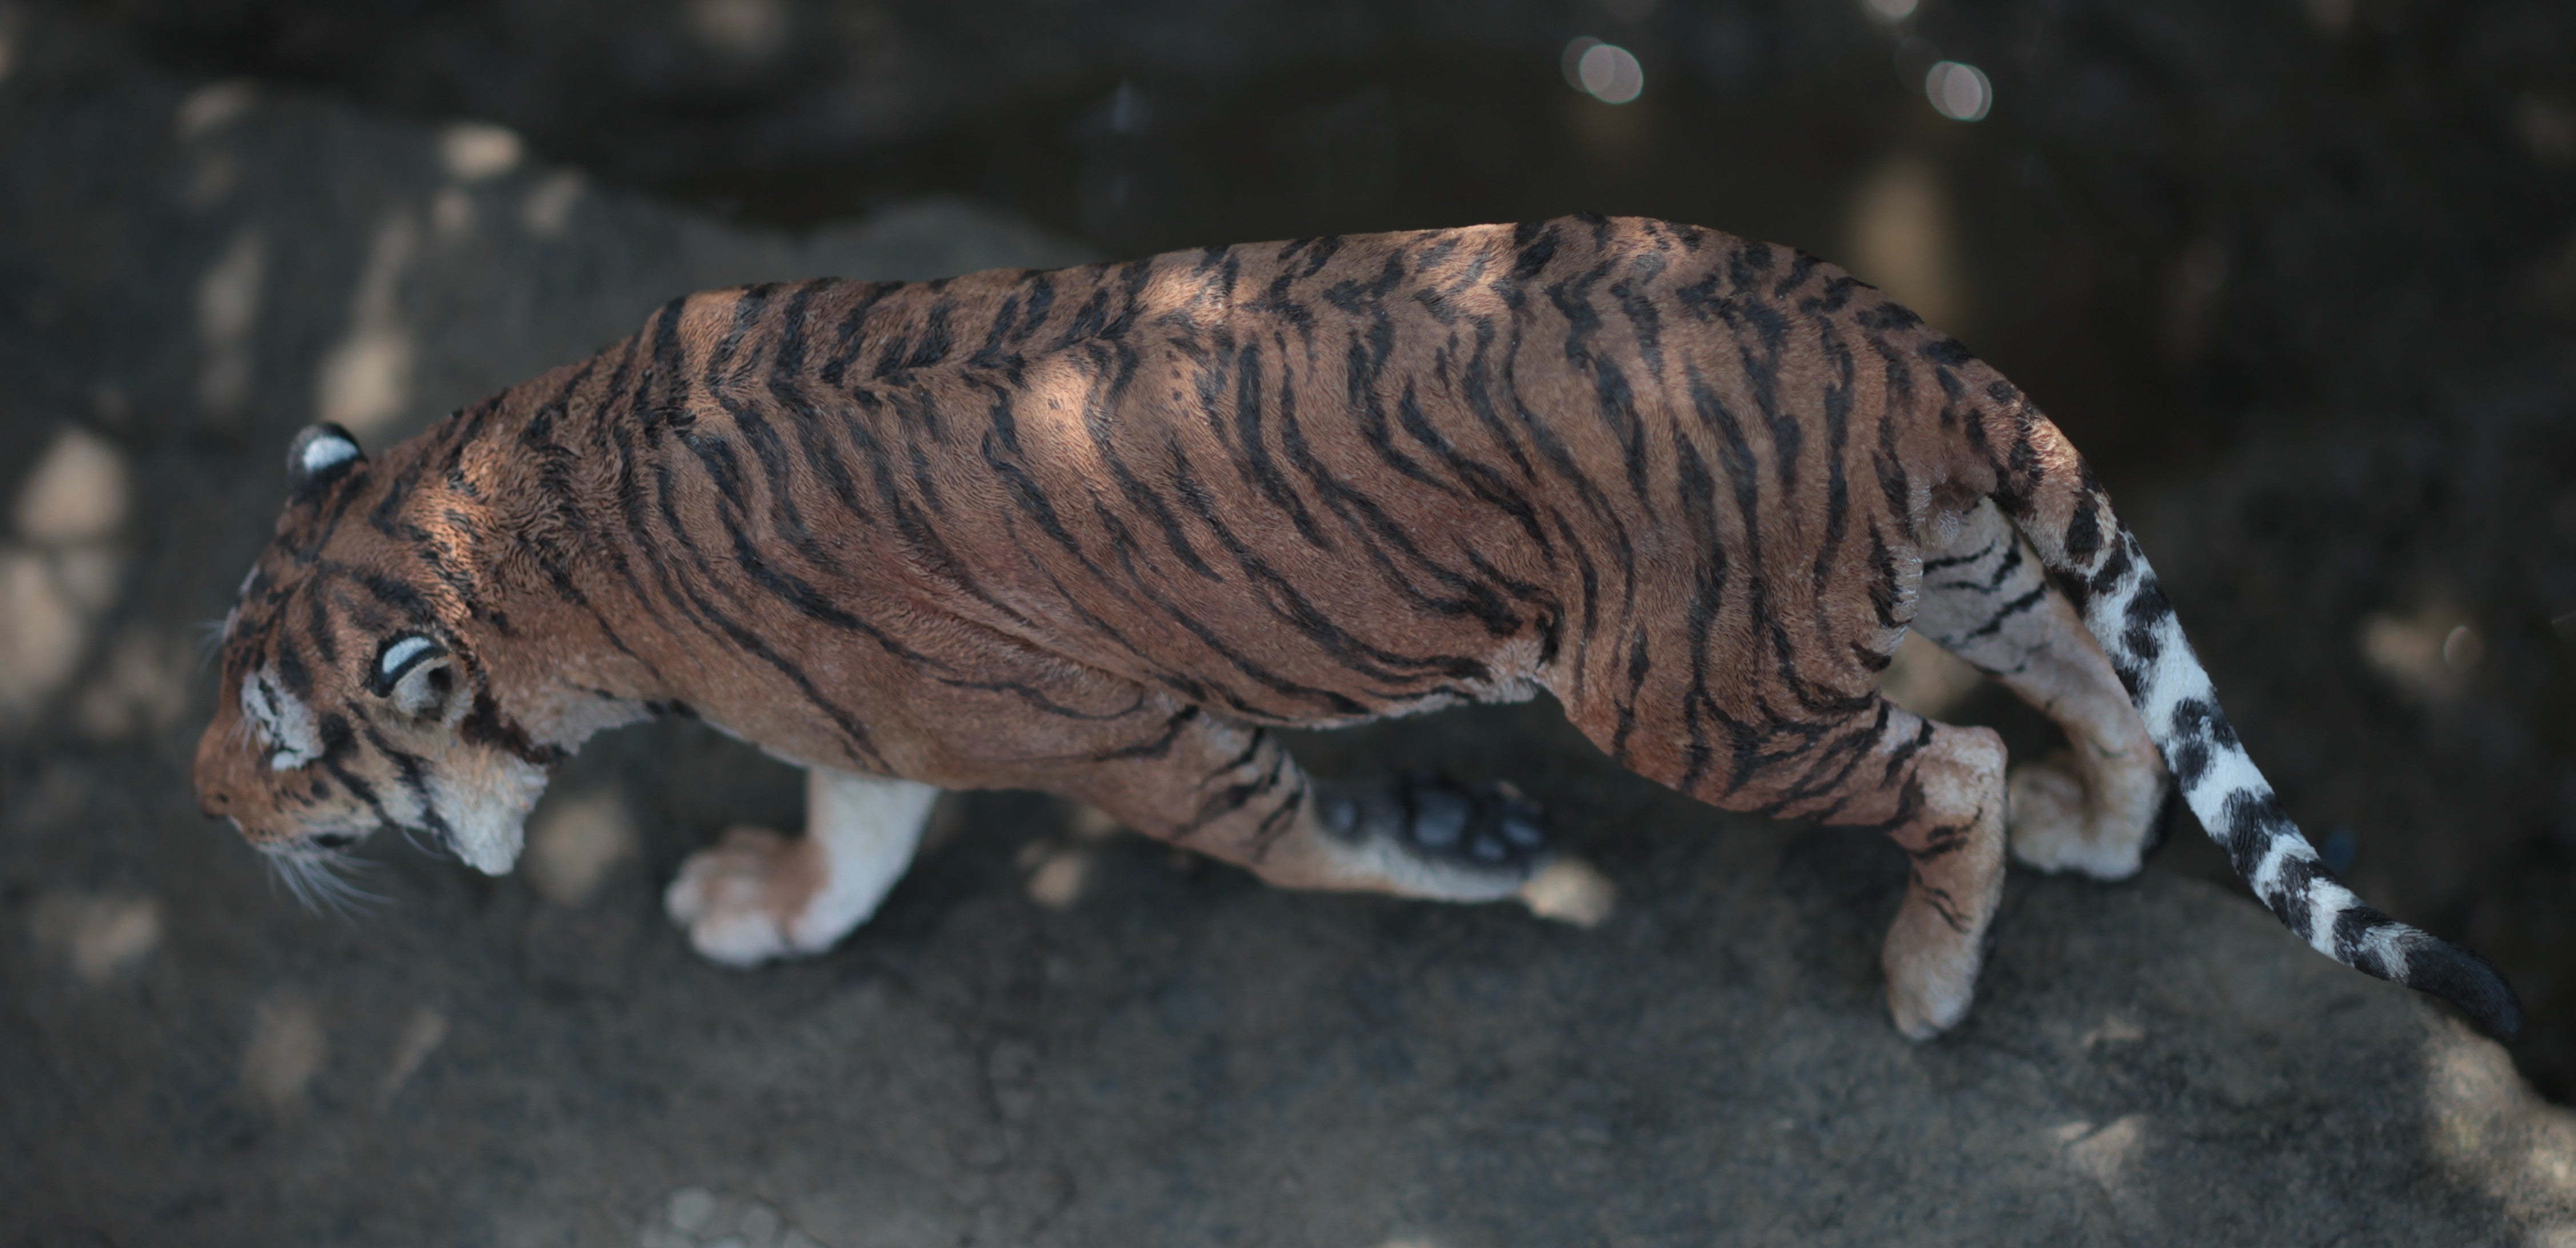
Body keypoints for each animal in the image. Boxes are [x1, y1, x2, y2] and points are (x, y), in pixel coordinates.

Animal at [193, 214, 2520, 1041]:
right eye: (222, 675)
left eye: (288, 744)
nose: (202, 805)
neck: (512, 496)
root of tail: (1893, 339)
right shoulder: (883, 732)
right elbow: (850, 850)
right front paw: (763, 906)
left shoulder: (1113, 733)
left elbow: (1305, 840)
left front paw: (1479, 858)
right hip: (1943, 555)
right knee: (2073, 672)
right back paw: (2092, 830)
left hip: (1690, 690)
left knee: (1943, 756)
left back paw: (1927, 987)